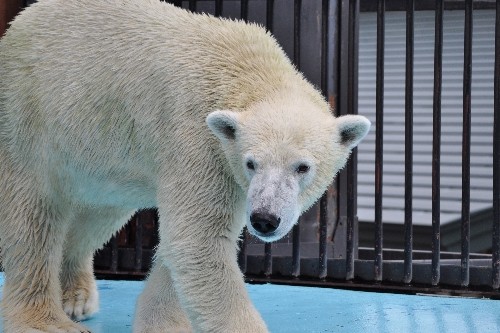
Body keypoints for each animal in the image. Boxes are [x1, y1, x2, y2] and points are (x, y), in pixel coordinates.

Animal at [0, 0, 368, 330]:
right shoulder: (198, 140)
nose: (264, 219)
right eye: (251, 163)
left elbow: (183, 246)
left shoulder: (225, 170)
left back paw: (76, 297)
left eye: (302, 167)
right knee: (32, 218)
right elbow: (198, 241)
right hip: (29, 118)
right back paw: (47, 320)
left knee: (98, 214)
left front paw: (160, 321)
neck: (245, 69)